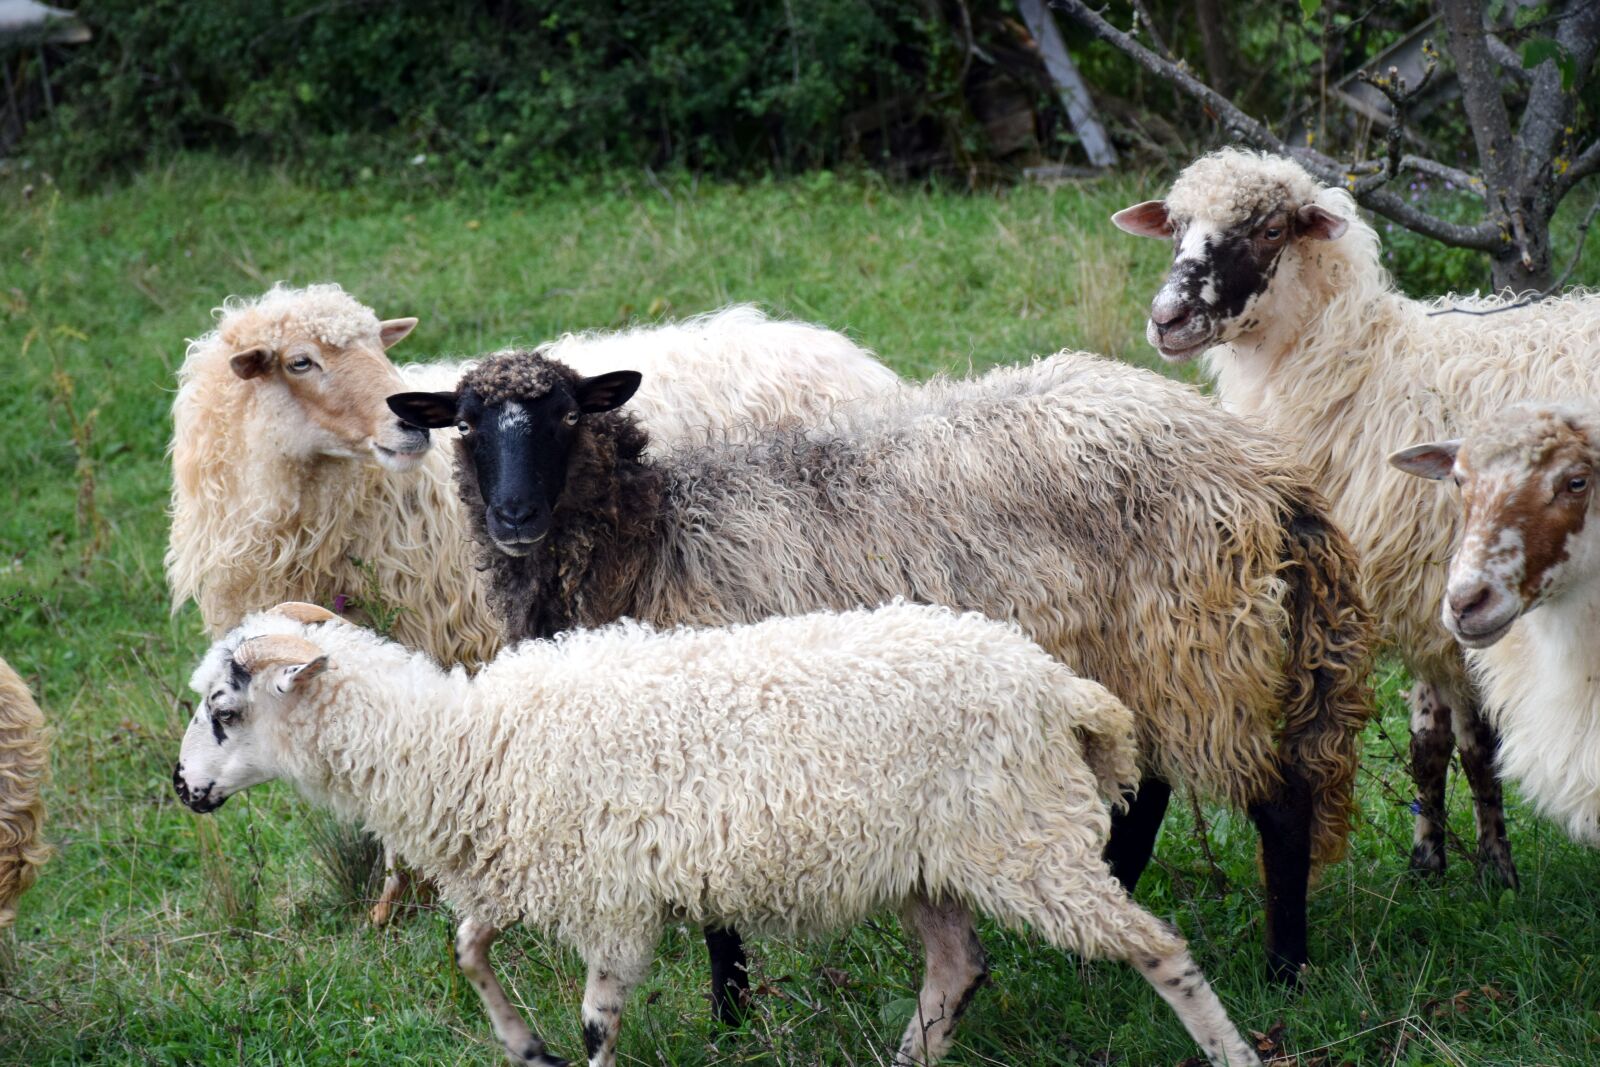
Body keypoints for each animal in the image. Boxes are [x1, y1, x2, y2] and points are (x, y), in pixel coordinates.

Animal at [172, 600, 1260, 1067]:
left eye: (224, 711)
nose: (183, 788)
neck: (469, 745)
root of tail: (1058, 687)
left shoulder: (612, 902)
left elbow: (597, 1019)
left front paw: (565, 1050)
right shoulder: (526, 875)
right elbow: (469, 948)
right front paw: (522, 1044)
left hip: (1025, 843)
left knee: (1158, 949)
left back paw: (1234, 1052)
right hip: (930, 862)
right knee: (957, 967)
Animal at [387, 346, 1374, 988]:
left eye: (564, 416)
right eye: (466, 424)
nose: (515, 514)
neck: (651, 536)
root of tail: (1270, 477)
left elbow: (712, 904)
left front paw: (732, 1015)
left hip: (1205, 653)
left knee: (1280, 804)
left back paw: (1287, 970)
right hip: (1149, 662)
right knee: (1148, 791)